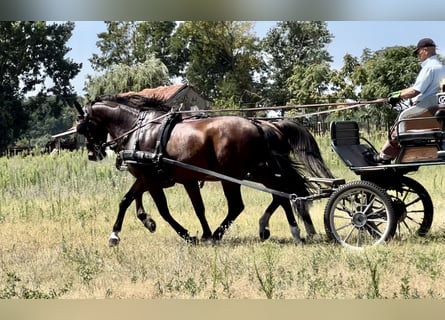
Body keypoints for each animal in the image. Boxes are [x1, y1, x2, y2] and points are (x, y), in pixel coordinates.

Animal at [75, 95, 332, 245]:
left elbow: (160, 209)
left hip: (232, 177)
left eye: (83, 127)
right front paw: (138, 225)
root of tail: (259, 125)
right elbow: (131, 200)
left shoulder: (150, 178)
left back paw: (222, 234)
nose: (92, 154)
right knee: (284, 193)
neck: (140, 129)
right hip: (262, 172)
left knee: (241, 205)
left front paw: (187, 234)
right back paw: (292, 230)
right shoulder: (168, 178)